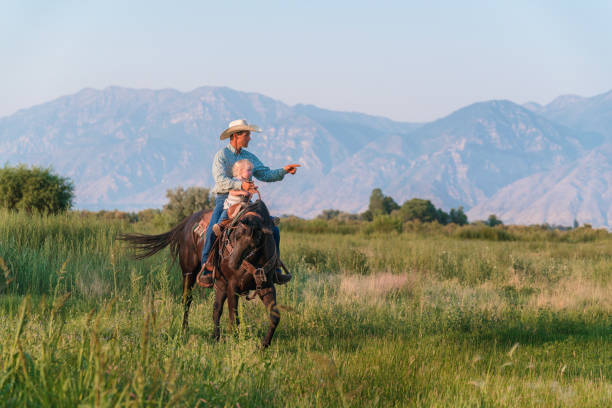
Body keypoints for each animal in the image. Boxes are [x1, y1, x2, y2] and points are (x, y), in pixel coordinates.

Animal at [120, 201, 286, 348]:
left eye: (254, 239)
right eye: (235, 235)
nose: (231, 263)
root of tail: (187, 221)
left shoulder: (266, 286)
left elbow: (275, 316)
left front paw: (264, 345)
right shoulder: (233, 286)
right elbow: (234, 317)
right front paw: (235, 343)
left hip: (220, 283)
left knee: (216, 309)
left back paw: (216, 337)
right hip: (189, 273)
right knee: (187, 300)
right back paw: (185, 329)